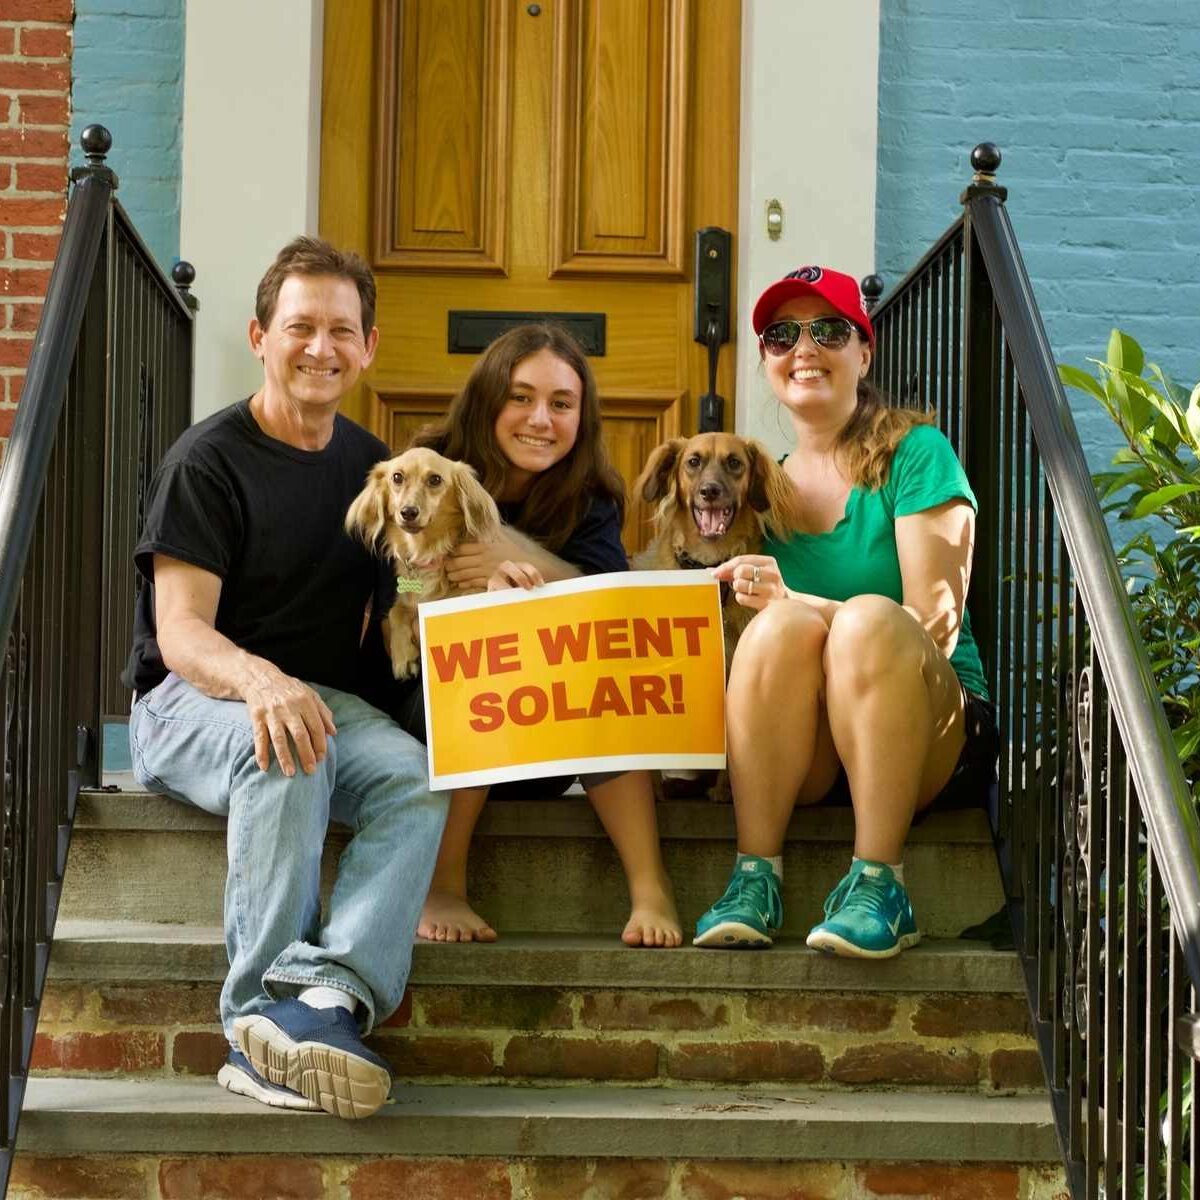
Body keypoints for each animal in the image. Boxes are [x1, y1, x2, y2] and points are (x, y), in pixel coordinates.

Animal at [343, 446, 501, 681]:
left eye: (435, 479)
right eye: (397, 477)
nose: (408, 512)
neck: (425, 552)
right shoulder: (406, 601)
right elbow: (395, 611)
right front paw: (403, 658)